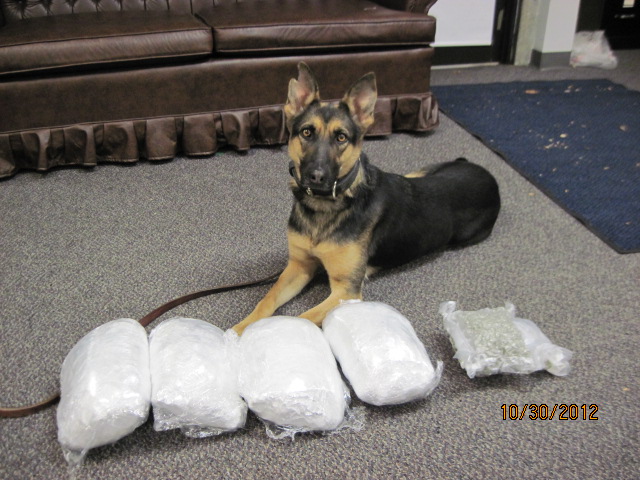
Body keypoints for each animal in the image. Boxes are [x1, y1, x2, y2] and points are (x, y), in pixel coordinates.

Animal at [232, 63, 500, 334]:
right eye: (307, 132)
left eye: (341, 137)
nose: (315, 177)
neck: (324, 207)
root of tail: (487, 176)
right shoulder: (299, 266)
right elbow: (267, 300)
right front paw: (237, 331)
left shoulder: (346, 291)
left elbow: (300, 319)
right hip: (419, 172)